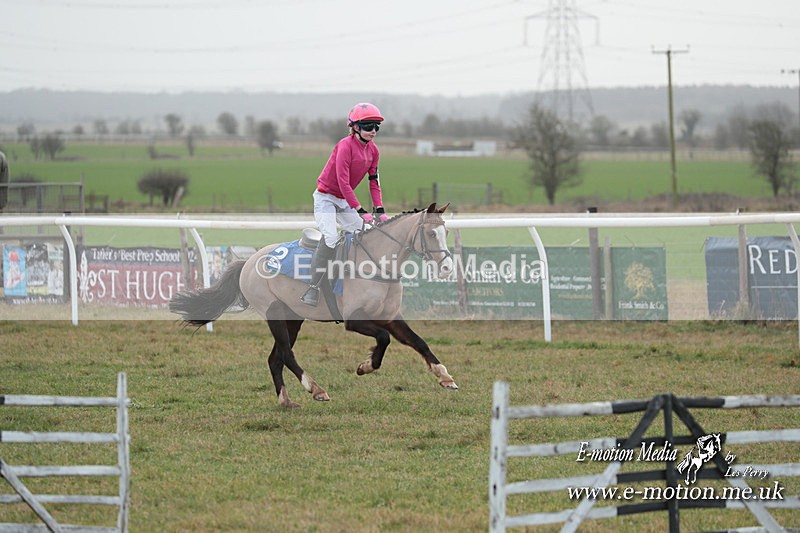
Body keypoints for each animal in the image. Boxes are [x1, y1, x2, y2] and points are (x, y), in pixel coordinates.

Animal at [170, 203, 458, 408]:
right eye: (431, 233)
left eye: (445, 232)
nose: (446, 268)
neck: (376, 263)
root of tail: (249, 261)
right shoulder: (355, 320)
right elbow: (383, 338)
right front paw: (365, 366)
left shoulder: (390, 316)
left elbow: (418, 342)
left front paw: (445, 376)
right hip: (275, 313)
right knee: (286, 355)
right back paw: (316, 389)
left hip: (293, 318)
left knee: (275, 358)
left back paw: (286, 400)